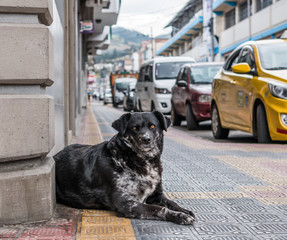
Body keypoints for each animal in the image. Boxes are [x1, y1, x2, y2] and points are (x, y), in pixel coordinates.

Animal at [54, 111, 196, 224]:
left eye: (152, 126)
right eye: (134, 128)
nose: (146, 139)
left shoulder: (156, 195)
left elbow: (171, 203)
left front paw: (184, 210)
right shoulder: (126, 203)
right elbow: (159, 209)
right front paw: (179, 216)